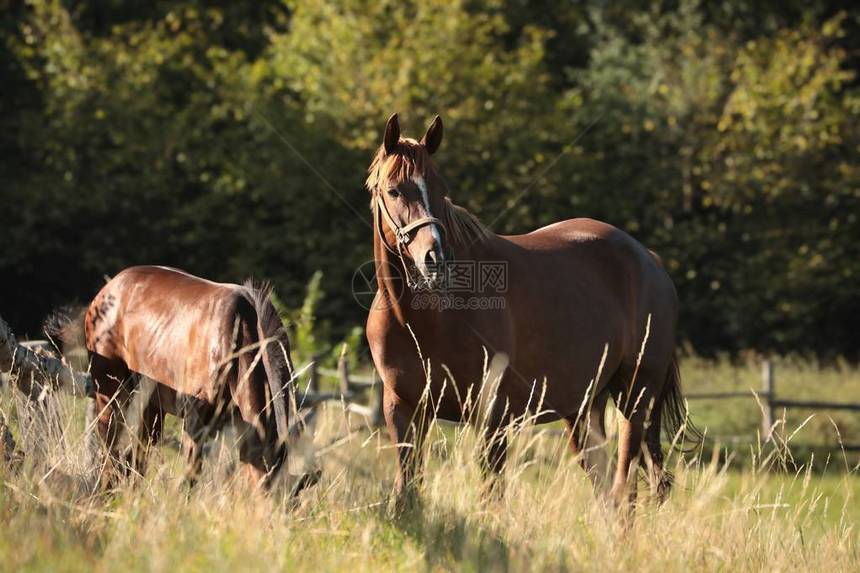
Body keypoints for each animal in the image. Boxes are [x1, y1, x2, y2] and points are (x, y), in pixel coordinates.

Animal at [82, 264, 294, 488]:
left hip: (151, 405)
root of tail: (108, 289)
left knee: (136, 456)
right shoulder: (194, 417)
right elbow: (191, 474)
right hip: (109, 393)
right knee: (110, 448)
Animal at [366, 114, 696, 512]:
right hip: (585, 409)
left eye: (440, 187)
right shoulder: (403, 410)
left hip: (636, 396)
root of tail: (650, 260)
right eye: (394, 191)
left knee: (623, 486)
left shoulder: (492, 416)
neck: (426, 321)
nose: (435, 259)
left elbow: (491, 496)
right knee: (609, 488)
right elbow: (408, 491)